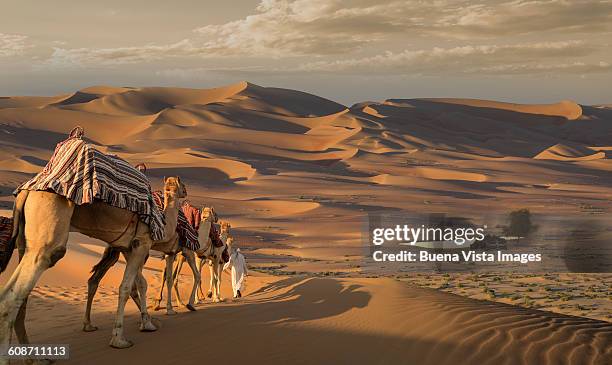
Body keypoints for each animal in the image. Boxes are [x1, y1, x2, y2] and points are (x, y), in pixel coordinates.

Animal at [0, 177, 183, 350]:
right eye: (182, 186)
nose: (185, 193)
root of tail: (25, 192)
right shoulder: (141, 243)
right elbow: (127, 287)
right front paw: (119, 339)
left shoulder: (129, 247)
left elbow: (139, 284)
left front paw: (148, 322)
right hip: (49, 229)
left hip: (25, 240)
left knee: (22, 296)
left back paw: (36, 355)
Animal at [82, 176, 195, 332]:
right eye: (182, 185)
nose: (186, 191)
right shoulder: (160, 250)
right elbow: (161, 279)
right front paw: (167, 310)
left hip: (115, 250)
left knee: (94, 280)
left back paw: (88, 324)